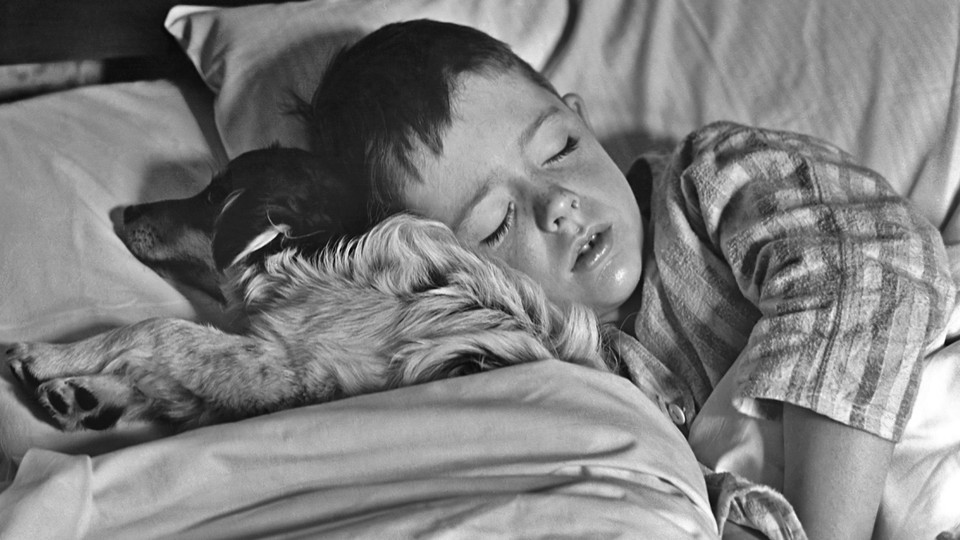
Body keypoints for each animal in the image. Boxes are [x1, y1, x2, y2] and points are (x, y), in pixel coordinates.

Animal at [3, 150, 612, 432]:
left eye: (213, 196)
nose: (125, 211)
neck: (316, 256)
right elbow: (171, 376)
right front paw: (89, 393)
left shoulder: (293, 372)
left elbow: (156, 331)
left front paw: (49, 357)